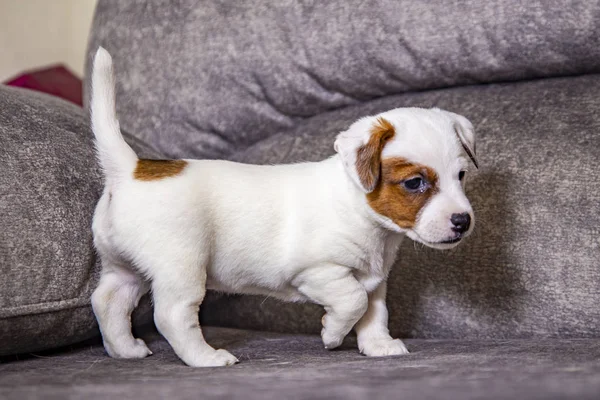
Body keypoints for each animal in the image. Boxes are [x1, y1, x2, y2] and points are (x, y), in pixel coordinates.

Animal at [89, 46, 478, 366]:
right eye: (415, 183)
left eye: (460, 175)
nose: (463, 221)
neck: (363, 214)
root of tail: (131, 168)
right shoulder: (319, 271)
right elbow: (354, 302)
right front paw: (332, 334)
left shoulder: (374, 278)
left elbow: (374, 312)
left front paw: (378, 346)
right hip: (181, 266)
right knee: (172, 315)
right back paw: (207, 358)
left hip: (126, 268)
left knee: (107, 301)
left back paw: (125, 349)